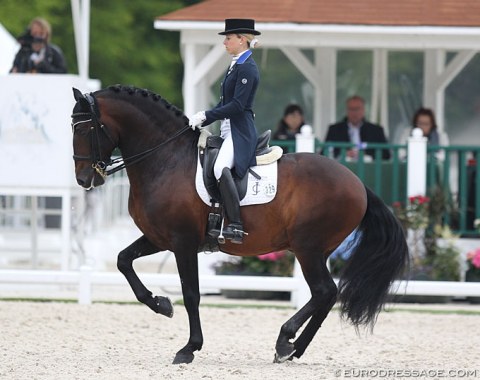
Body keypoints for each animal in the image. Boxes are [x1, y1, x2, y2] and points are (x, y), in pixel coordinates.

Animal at [70, 85, 408, 366]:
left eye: (85, 128)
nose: (84, 179)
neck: (166, 159)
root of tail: (358, 183)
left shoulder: (182, 242)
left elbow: (191, 293)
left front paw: (189, 348)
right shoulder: (158, 237)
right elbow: (123, 261)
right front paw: (161, 304)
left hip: (308, 247)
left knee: (324, 291)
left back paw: (286, 342)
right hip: (316, 250)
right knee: (324, 295)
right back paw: (292, 348)